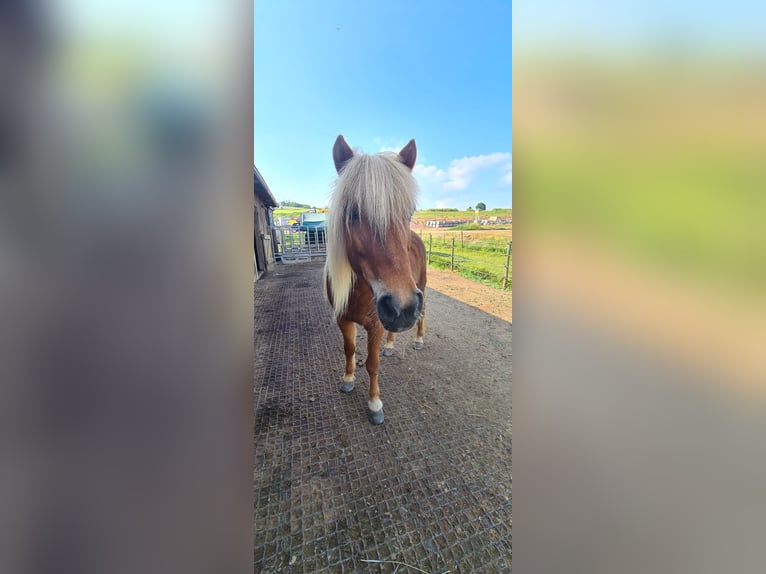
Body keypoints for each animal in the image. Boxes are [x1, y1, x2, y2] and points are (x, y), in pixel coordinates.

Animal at [324, 135, 427, 425]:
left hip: (421, 288)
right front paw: (348, 379)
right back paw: (391, 345)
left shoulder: (376, 326)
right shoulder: (344, 319)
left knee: (423, 314)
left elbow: (372, 364)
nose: (402, 306)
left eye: (409, 212)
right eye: (353, 213)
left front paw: (374, 404)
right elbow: (349, 349)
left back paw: (418, 340)